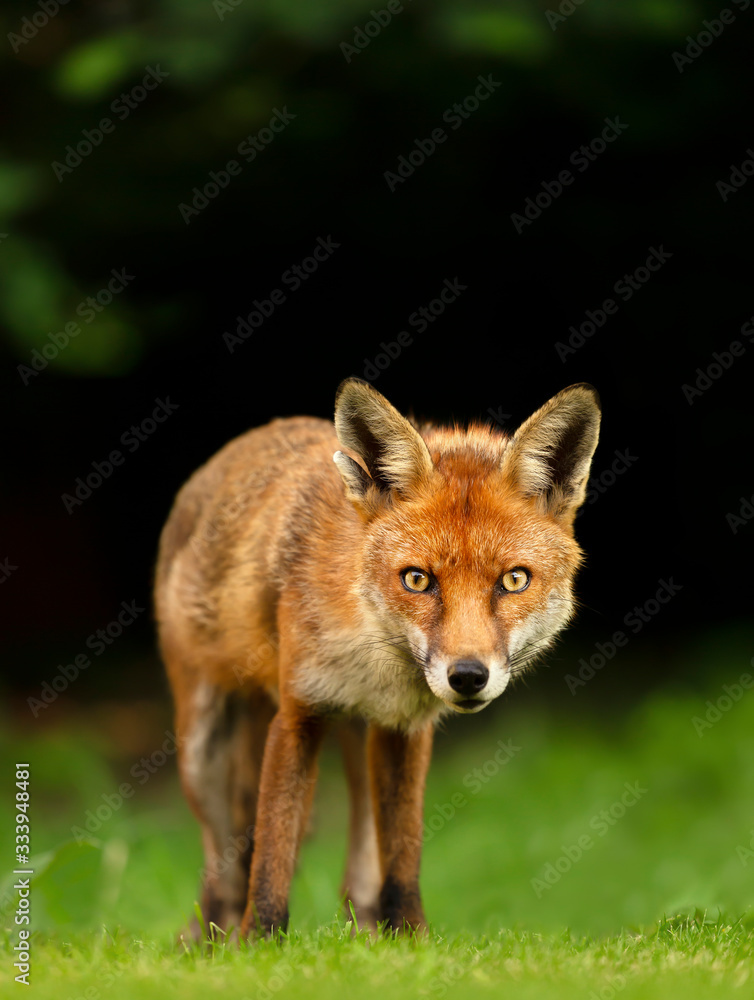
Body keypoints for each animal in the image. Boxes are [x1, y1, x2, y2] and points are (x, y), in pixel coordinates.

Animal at [154, 377, 601, 939]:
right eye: (417, 579)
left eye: (514, 580)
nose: (467, 676)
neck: (374, 661)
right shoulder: (298, 715)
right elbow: (272, 857)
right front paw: (260, 944)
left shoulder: (405, 729)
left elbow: (402, 859)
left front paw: (413, 941)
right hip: (203, 752)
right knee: (223, 870)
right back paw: (212, 939)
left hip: (362, 745)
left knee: (360, 873)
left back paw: (365, 936)